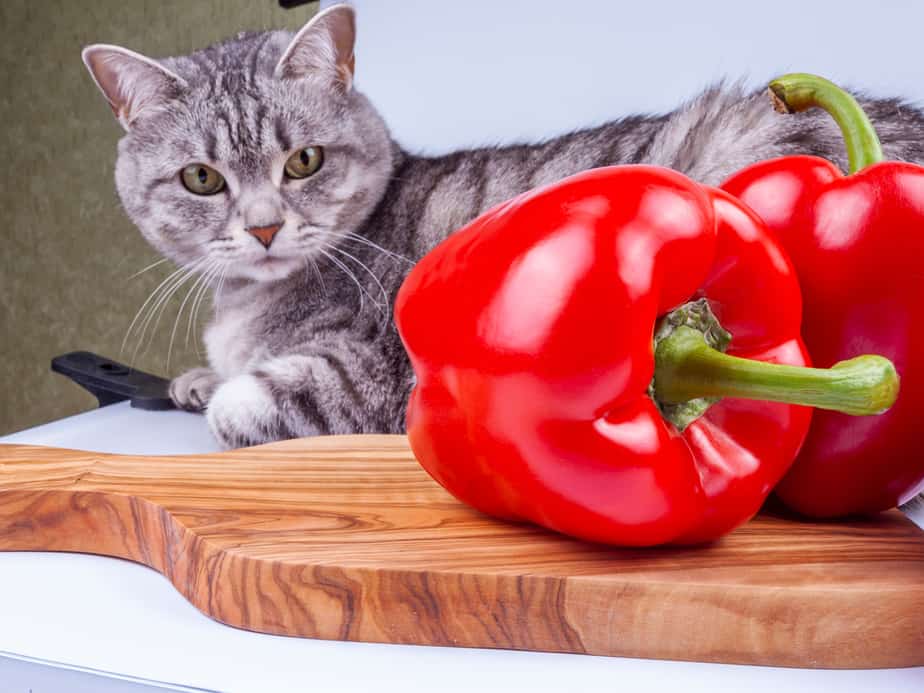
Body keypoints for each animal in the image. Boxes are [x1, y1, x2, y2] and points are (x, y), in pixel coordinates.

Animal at [83, 4, 924, 448]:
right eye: (202, 179)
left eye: (304, 162)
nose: (262, 228)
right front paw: (194, 377)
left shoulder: (363, 376)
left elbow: (256, 399)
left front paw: (221, 394)